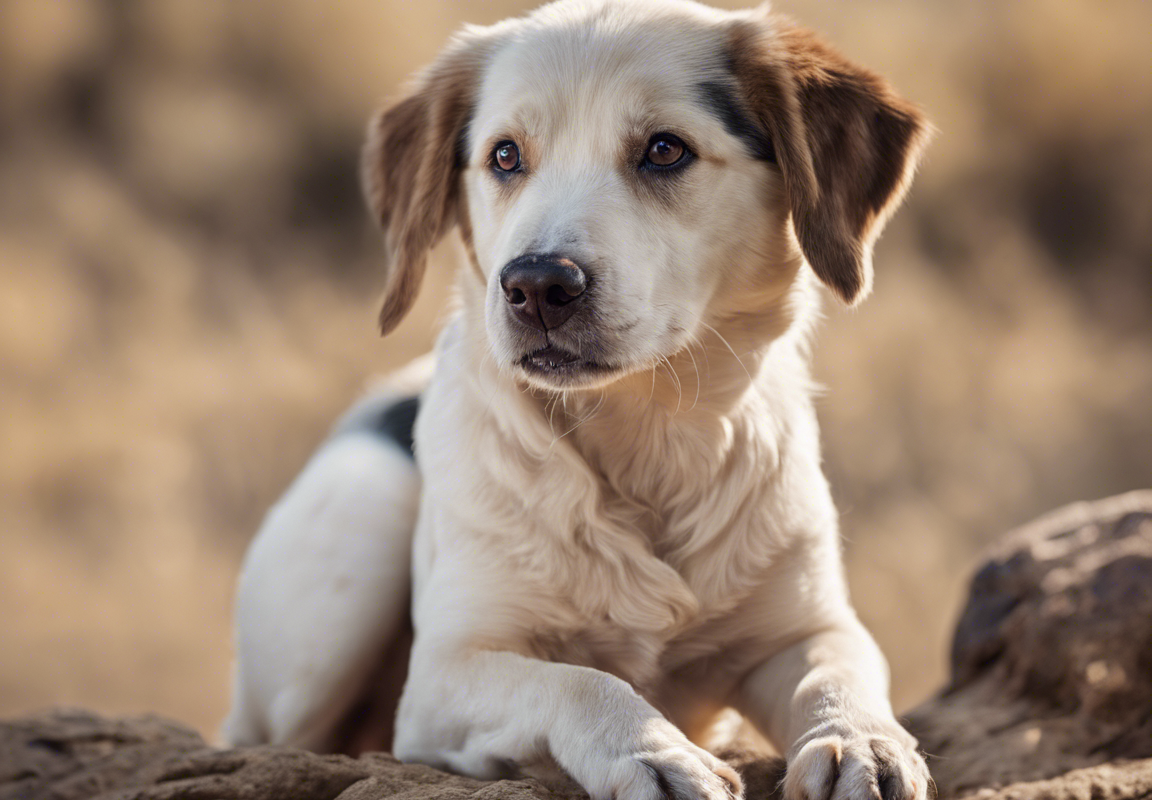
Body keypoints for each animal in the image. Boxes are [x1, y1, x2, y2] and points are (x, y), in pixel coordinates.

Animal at [220, 0, 930, 797]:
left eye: (665, 149)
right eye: (504, 156)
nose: (535, 285)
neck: (645, 436)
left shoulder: (809, 627)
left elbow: (836, 678)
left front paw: (863, 741)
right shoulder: (441, 681)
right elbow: (577, 681)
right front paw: (652, 752)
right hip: (357, 537)